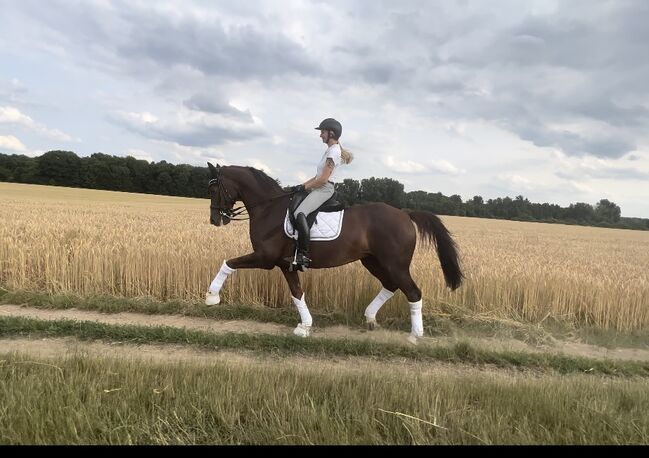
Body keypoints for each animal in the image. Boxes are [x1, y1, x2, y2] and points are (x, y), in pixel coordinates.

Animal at [205, 163, 464, 342]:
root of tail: (405, 214)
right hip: (373, 262)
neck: (270, 208)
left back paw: (414, 336)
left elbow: (228, 263)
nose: (215, 219)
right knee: (391, 286)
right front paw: (305, 326)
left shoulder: (265, 258)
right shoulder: (286, 264)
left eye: (215, 188)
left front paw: (211, 297)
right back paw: (370, 318)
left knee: (413, 292)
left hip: (395, 264)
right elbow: (297, 293)